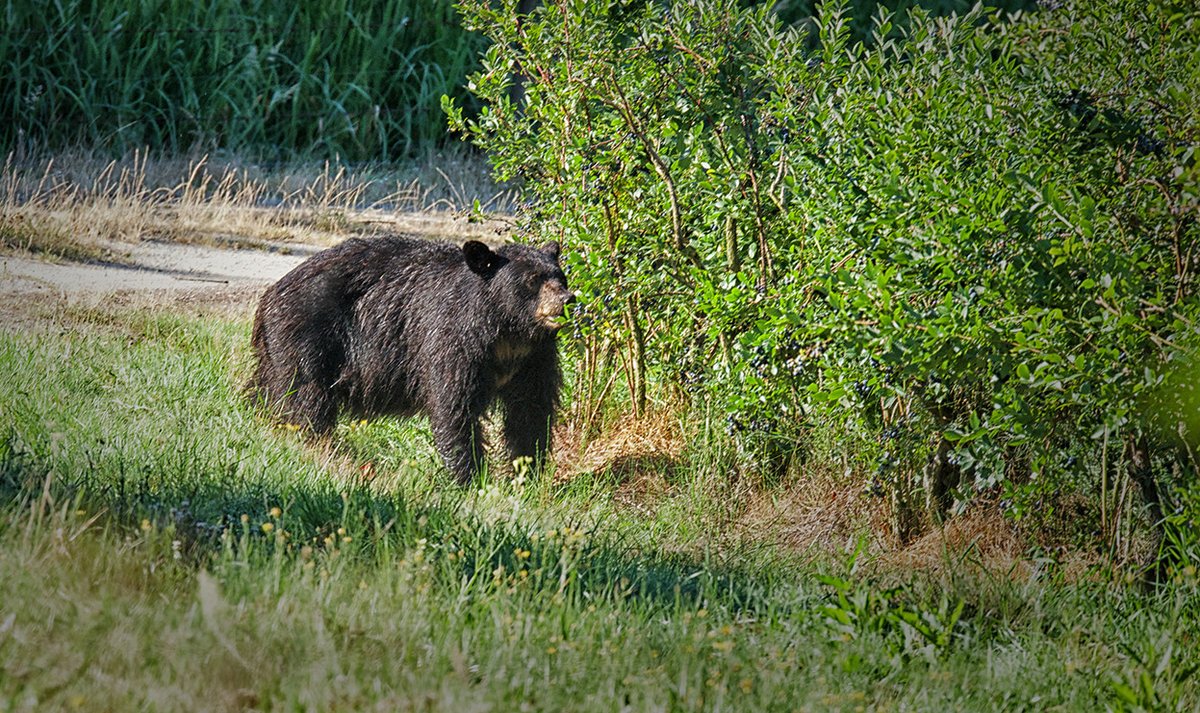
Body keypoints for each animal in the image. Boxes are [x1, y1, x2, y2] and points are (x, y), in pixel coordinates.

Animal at [248, 236, 571, 480]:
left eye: (560, 277)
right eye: (532, 280)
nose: (567, 300)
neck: (506, 331)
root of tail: (270, 295)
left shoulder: (534, 357)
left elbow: (530, 409)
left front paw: (527, 472)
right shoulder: (452, 340)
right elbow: (455, 406)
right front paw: (469, 477)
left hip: (275, 352)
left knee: (268, 390)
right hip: (308, 338)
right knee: (304, 397)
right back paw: (315, 444)